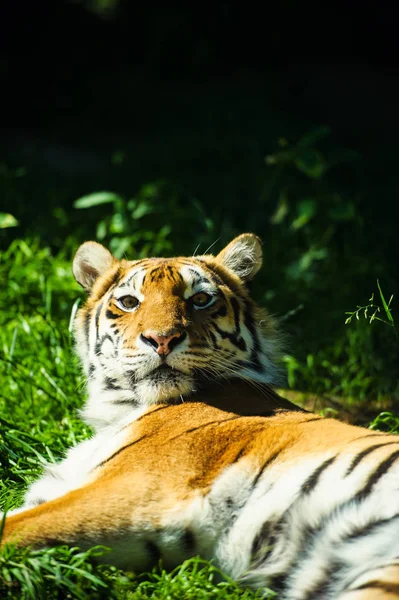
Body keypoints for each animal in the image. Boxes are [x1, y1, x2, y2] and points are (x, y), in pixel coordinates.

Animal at [2, 234, 399, 600]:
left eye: (201, 299)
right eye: (129, 302)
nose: (161, 339)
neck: (121, 409)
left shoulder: (136, 489)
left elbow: (12, 527)